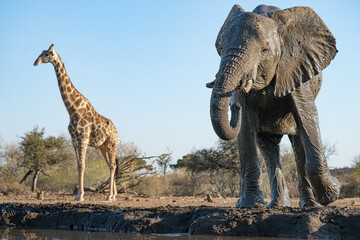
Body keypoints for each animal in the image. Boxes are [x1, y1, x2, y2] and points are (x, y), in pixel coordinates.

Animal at [33, 44, 119, 202]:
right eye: (41, 53)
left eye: (48, 54)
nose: (35, 62)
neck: (72, 109)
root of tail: (117, 132)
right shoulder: (74, 140)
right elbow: (78, 165)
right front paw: (78, 195)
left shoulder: (82, 138)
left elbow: (82, 166)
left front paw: (80, 195)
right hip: (103, 146)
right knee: (111, 165)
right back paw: (113, 195)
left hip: (112, 144)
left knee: (112, 166)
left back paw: (110, 196)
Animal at [208, 4, 340, 208]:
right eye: (220, 48)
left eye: (264, 50)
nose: (234, 106)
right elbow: (246, 125)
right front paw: (249, 205)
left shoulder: (295, 67)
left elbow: (307, 115)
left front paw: (332, 193)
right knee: (268, 148)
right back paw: (278, 206)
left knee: (297, 143)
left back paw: (309, 205)